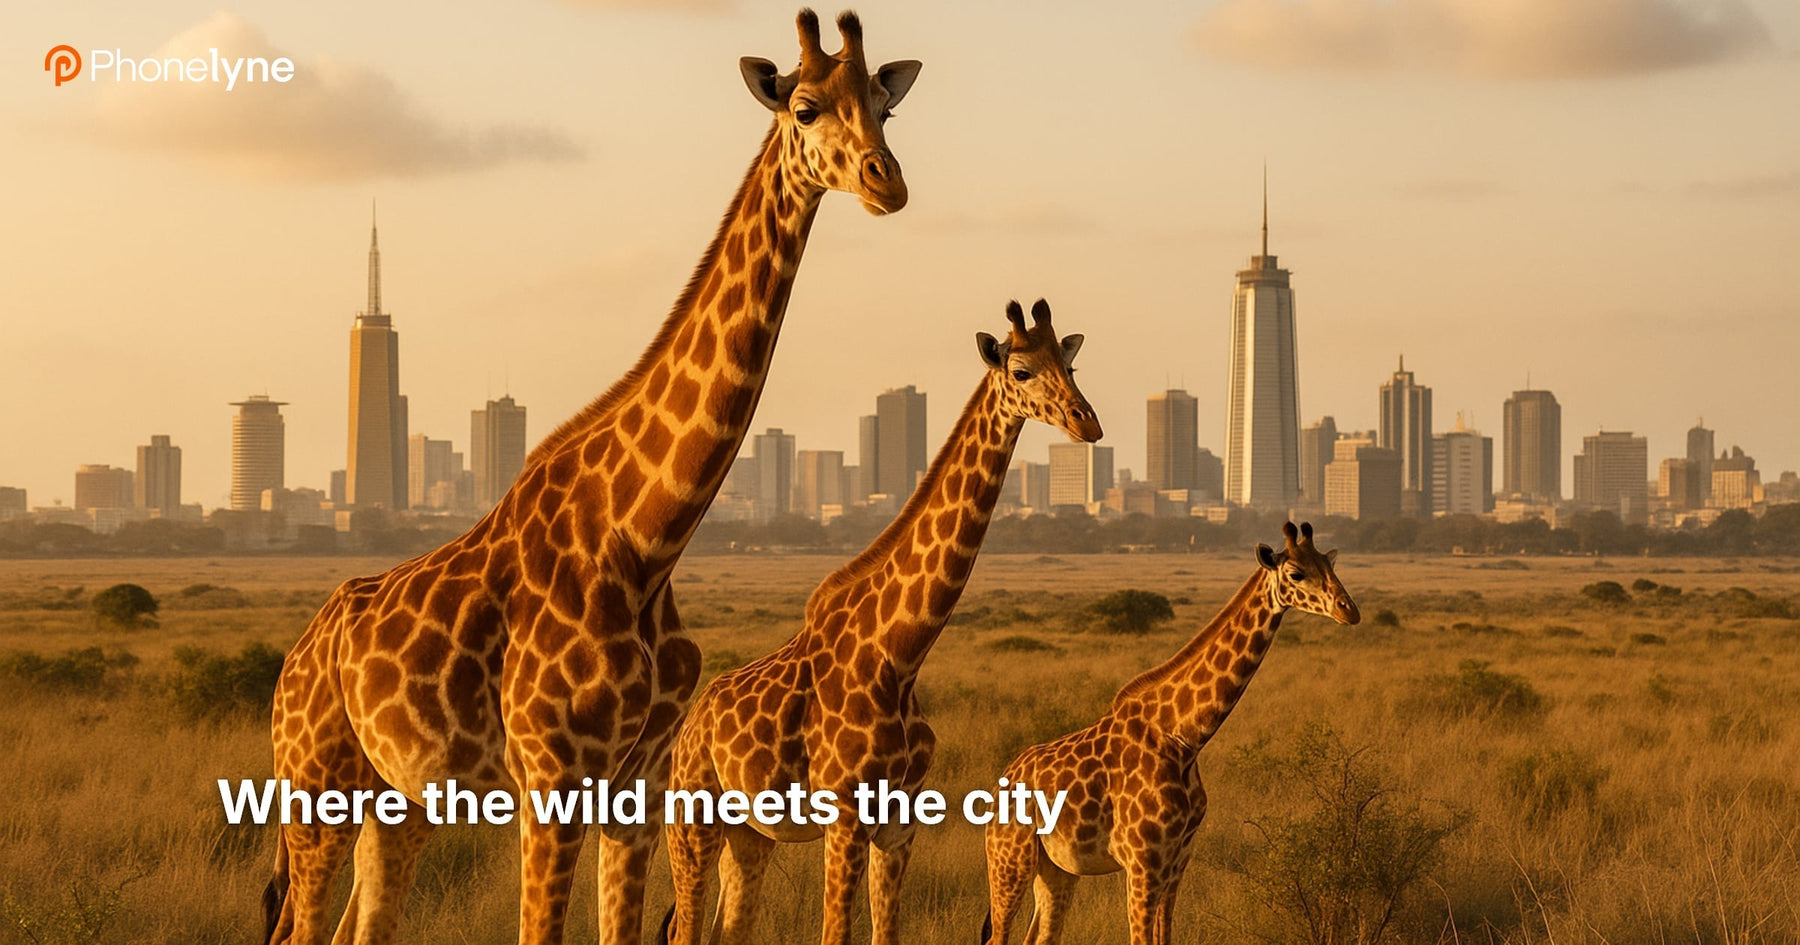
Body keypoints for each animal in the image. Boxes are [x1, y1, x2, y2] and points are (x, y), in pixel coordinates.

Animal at [263, 11, 922, 945]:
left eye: (884, 107)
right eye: (804, 107)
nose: (885, 181)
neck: (644, 539)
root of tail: (294, 658)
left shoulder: (635, 789)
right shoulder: (551, 781)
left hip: (400, 802)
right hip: (316, 784)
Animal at [658, 300, 1102, 945]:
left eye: (1070, 365)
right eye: (1020, 371)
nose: (1086, 423)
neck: (900, 654)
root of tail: (692, 724)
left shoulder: (899, 821)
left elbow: (884, 932)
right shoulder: (844, 814)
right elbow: (834, 933)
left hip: (751, 833)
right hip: (693, 816)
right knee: (683, 927)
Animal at [979, 522, 1359, 945]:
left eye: (1329, 563)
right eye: (1295, 573)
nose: (1349, 610)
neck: (1185, 738)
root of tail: (1000, 782)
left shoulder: (1178, 859)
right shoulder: (1144, 861)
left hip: (1058, 868)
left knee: (1041, 936)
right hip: (1009, 859)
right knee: (998, 935)